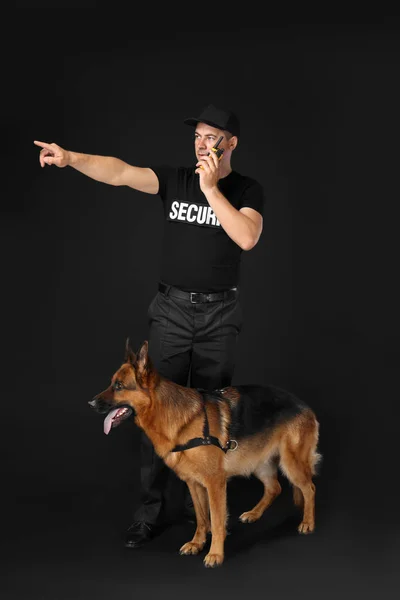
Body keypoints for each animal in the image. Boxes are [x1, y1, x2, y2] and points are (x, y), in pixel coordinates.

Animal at [88, 340, 322, 568]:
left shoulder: (215, 483)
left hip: (290, 463)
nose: (90, 403)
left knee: (309, 488)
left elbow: (217, 521)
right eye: (112, 383)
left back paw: (307, 522)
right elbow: (202, 517)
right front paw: (197, 543)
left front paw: (215, 554)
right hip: (258, 463)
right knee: (275, 488)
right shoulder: (194, 483)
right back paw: (254, 514)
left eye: (119, 386)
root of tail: (303, 404)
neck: (172, 415)